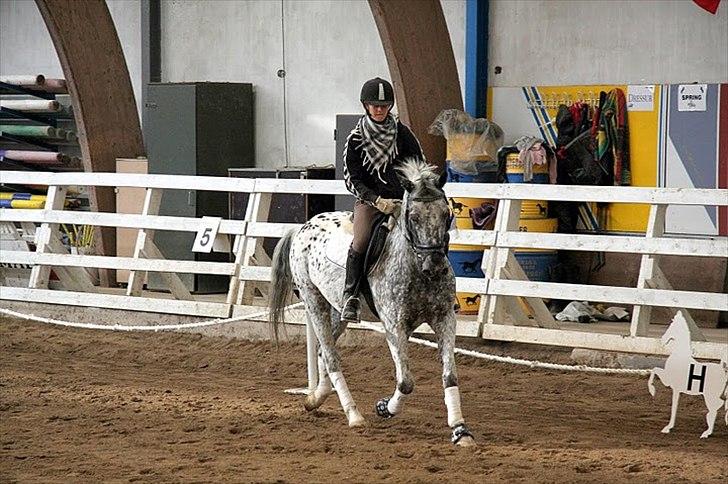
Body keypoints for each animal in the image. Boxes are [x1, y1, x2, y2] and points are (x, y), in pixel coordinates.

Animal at [268, 159, 478, 446]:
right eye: (413, 217)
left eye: (446, 215)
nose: (434, 266)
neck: (415, 267)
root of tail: (302, 227)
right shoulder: (394, 326)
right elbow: (406, 382)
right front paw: (384, 408)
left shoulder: (445, 318)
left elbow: (449, 376)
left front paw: (460, 431)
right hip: (313, 300)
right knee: (331, 357)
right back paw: (354, 416)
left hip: (337, 312)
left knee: (323, 352)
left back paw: (314, 399)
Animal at [648, 310, 728, 438]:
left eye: (671, 326)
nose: (662, 340)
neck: (679, 355)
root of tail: (723, 370)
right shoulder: (675, 387)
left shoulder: (669, 382)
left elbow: (654, 370)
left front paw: (652, 392)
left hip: (709, 395)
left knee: (716, 407)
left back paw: (706, 433)